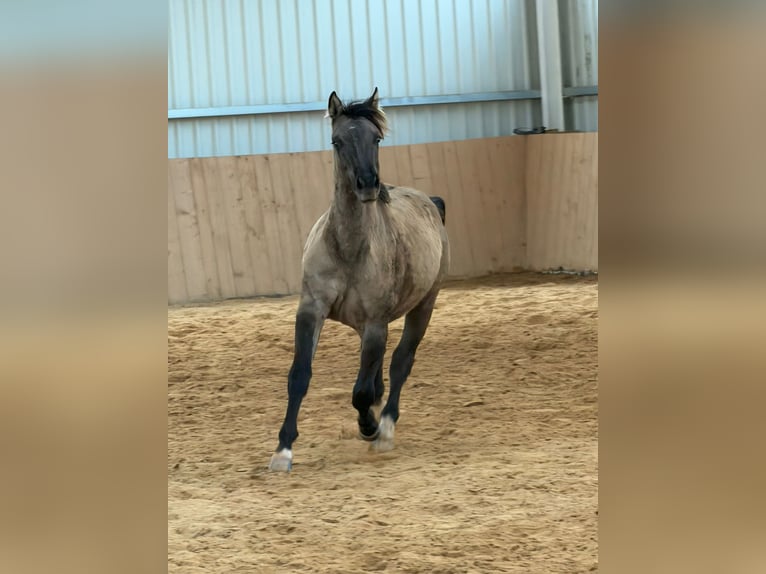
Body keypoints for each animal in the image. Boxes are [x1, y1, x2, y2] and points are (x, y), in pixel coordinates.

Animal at [268, 88, 450, 472]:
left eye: (376, 139)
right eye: (337, 141)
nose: (367, 185)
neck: (348, 249)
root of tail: (431, 202)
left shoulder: (376, 323)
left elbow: (362, 391)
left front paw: (368, 426)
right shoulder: (311, 310)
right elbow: (299, 375)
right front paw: (283, 449)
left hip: (424, 306)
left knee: (400, 363)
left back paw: (385, 427)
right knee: (379, 372)